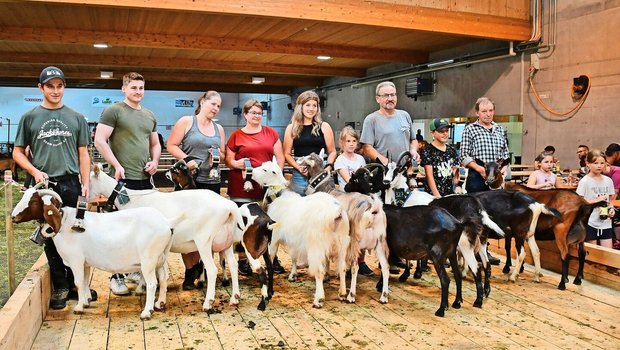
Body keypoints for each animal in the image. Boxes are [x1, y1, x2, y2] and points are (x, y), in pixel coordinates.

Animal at [12, 186, 177, 320]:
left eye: (33, 201)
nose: (13, 217)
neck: (65, 223)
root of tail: (166, 223)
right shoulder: (85, 263)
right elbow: (85, 282)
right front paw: (86, 302)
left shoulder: (76, 260)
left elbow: (78, 283)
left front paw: (79, 307)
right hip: (160, 258)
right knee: (163, 278)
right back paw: (160, 303)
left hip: (148, 260)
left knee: (152, 283)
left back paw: (147, 312)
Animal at [89, 164, 245, 312]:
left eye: (89, 179)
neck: (130, 199)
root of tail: (229, 206)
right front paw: (153, 295)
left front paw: (143, 290)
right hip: (226, 242)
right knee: (233, 265)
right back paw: (235, 298)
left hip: (204, 241)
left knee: (212, 270)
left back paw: (208, 303)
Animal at [251, 157, 348, 308]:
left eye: (265, 169)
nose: (252, 173)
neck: (280, 196)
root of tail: (336, 213)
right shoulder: (294, 239)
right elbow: (294, 257)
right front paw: (293, 275)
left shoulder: (274, 238)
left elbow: (271, 257)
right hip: (342, 243)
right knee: (342, 268)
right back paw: (343, 293)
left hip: (316, 244)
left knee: (319, 270)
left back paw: (319, 299)